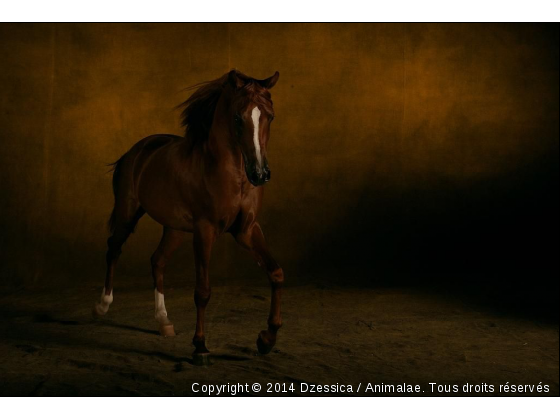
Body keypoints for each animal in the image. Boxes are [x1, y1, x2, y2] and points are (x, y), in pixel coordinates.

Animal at [94, 69, 284, 364]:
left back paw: (163, 321)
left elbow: (275, 273)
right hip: (128, 213)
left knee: (157, 260)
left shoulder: (247, 230)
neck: (234, 175)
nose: (260, 173)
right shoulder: (205, 231)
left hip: (175, 229)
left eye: (270, 116)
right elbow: (203, 291)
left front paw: (266, 339)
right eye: (238, 117)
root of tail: (135, 151)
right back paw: (103, 305)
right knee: (114, 248)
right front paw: (200, 347)